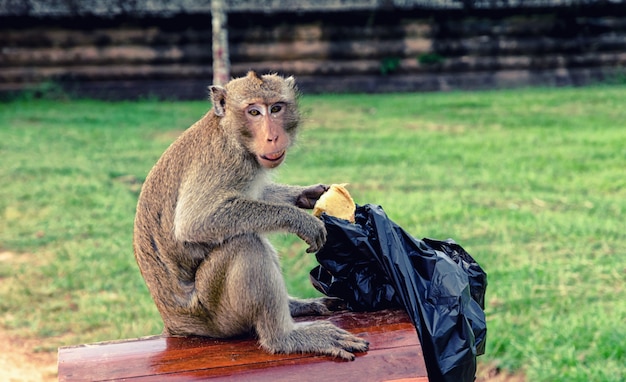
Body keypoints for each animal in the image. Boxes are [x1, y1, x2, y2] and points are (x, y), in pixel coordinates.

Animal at [132, 71, 366, 362]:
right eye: (254, 112)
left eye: (276, 108)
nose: (272, 137)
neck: (230, 133)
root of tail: (175, 326)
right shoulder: (226, 162)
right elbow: (195, 222)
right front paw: (301, 220)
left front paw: (307, 195)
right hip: (214, 314)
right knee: (246, 244)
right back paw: (284, 337)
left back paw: (295, 306)